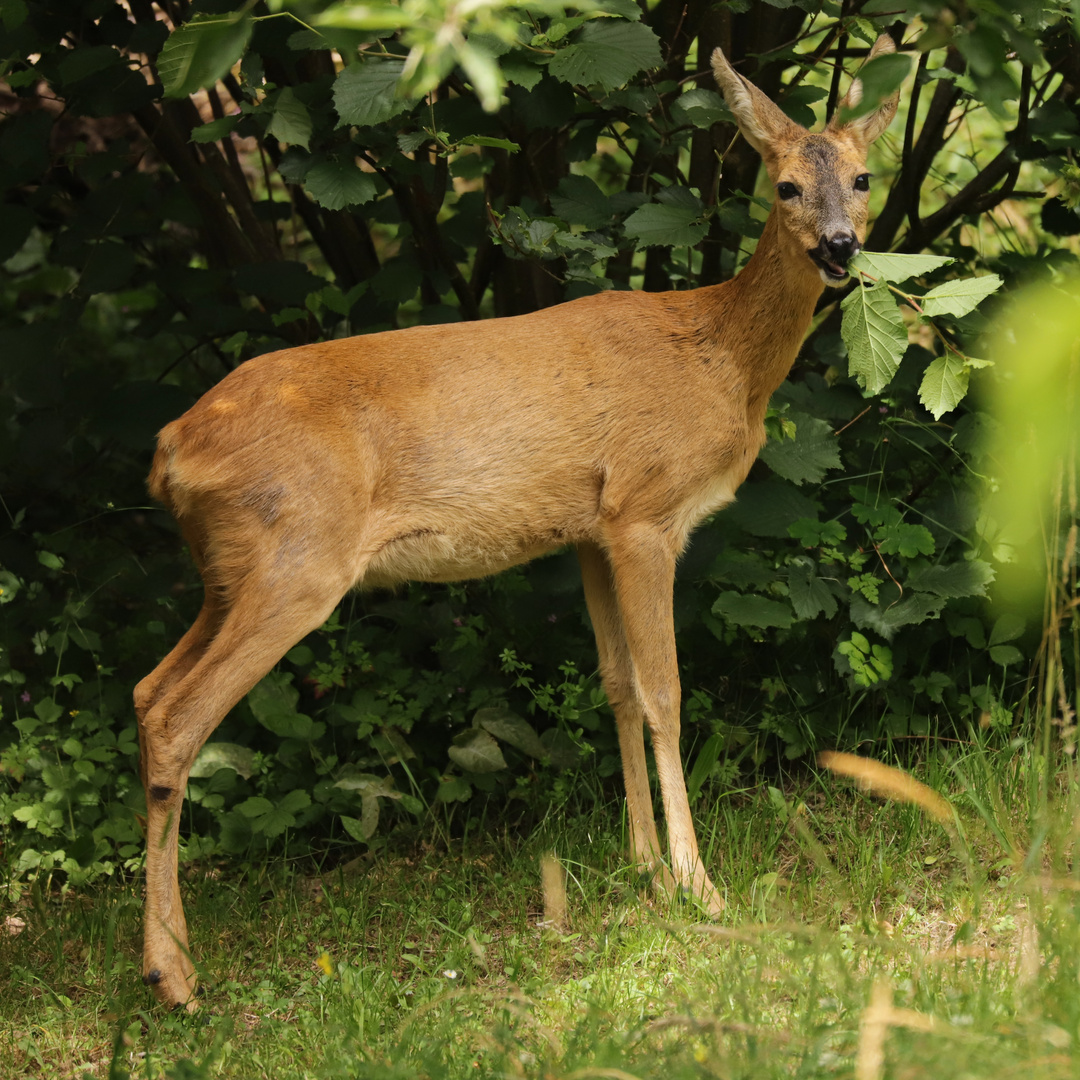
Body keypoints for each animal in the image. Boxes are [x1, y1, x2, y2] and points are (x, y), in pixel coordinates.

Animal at [132, 35, 894, 1010]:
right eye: (787, 184)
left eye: (864, 177)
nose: (840, 245)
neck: (718, 358)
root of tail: (170, 449)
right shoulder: (646, 514)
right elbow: (666, 692)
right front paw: (699, 885)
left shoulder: (592, 531)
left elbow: (614, 686)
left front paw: (644, 868)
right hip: (295, 562)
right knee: (180, 715)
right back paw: (176, 976)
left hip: (230, 572)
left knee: (148, 692)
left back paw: (170, 955)